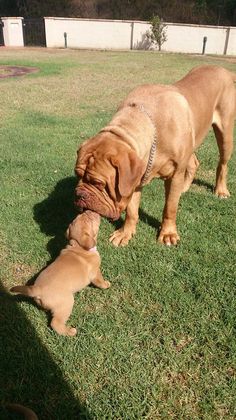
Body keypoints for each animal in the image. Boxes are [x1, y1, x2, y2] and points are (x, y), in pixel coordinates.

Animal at [74, 65, 235, 246]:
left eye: (99, 183)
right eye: (77, 175)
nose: (79, 195)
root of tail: (223, 70)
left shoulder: (175, 174)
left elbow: (170, 207)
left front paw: (168, 234)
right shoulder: (135, 179)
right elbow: (132, 210)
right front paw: (125, 232)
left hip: (225, 133)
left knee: (223, 163)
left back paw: (221, 190)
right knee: (194, 162)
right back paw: (185, 188)